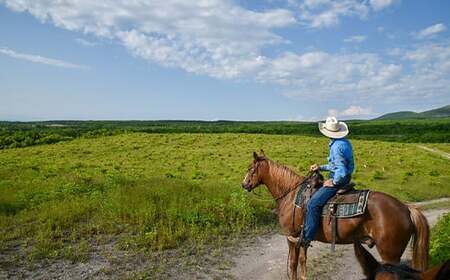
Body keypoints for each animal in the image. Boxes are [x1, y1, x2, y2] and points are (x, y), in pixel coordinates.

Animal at [243, 151, 428, 280]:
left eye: (251, 169)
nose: (244, 184)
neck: (291, 194)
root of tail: (406, 208)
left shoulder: (292, 237)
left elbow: (293, 264)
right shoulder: (302, 239)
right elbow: (302, 261)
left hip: (390, 254)